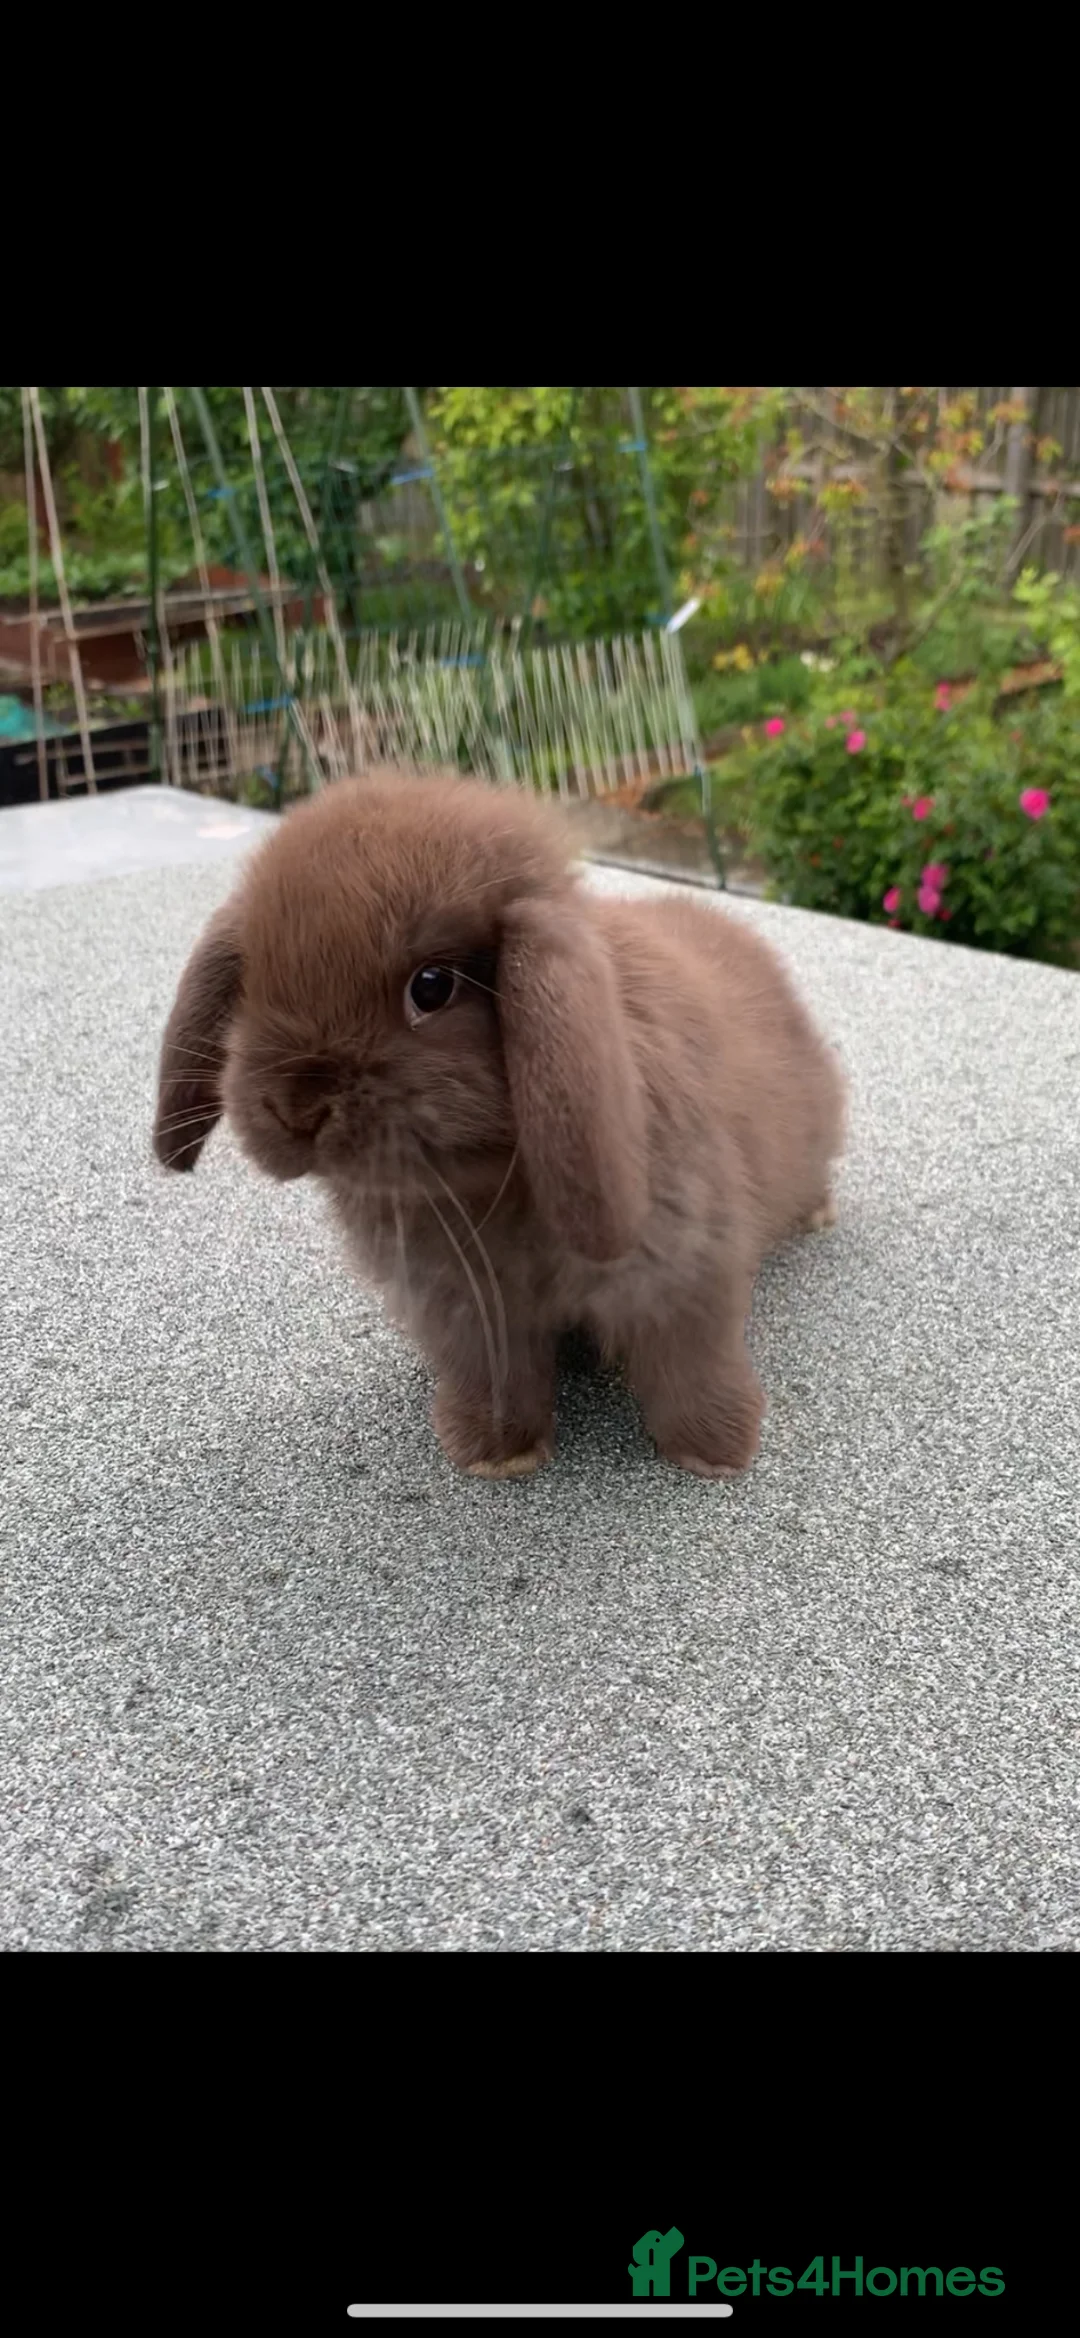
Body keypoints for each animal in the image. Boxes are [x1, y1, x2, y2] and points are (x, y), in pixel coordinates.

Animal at [153, 768, 845, 1479]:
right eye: (254, 982)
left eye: (432, 986)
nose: (297, 1108)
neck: (492, 1179)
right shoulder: (467, 1309)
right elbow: (496, 1378)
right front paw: (493, 1454)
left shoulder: (683, 1276)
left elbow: (692, 1367)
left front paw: (715, 1452)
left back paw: (818, 1215)